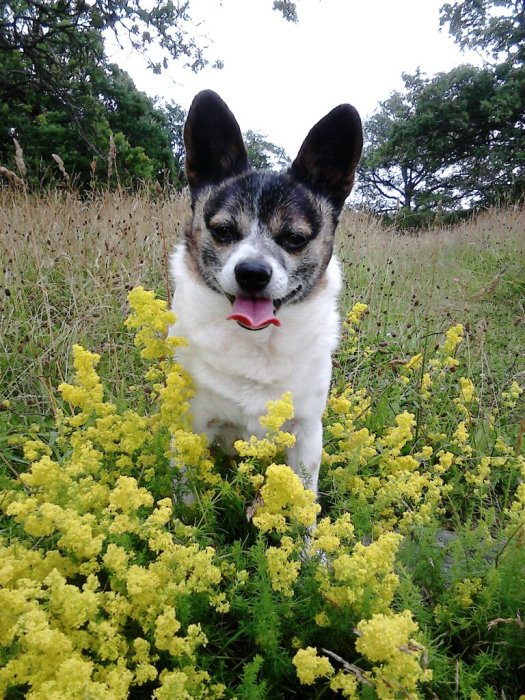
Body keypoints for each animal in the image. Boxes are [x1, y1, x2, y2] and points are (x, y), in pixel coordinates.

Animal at [168, 89, 360, 498]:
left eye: (295, 238)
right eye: (223, 231)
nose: (252, 273)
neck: (258, 342)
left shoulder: (307, 432)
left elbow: (304, 500)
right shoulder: (193, 426)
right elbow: (187, 499)